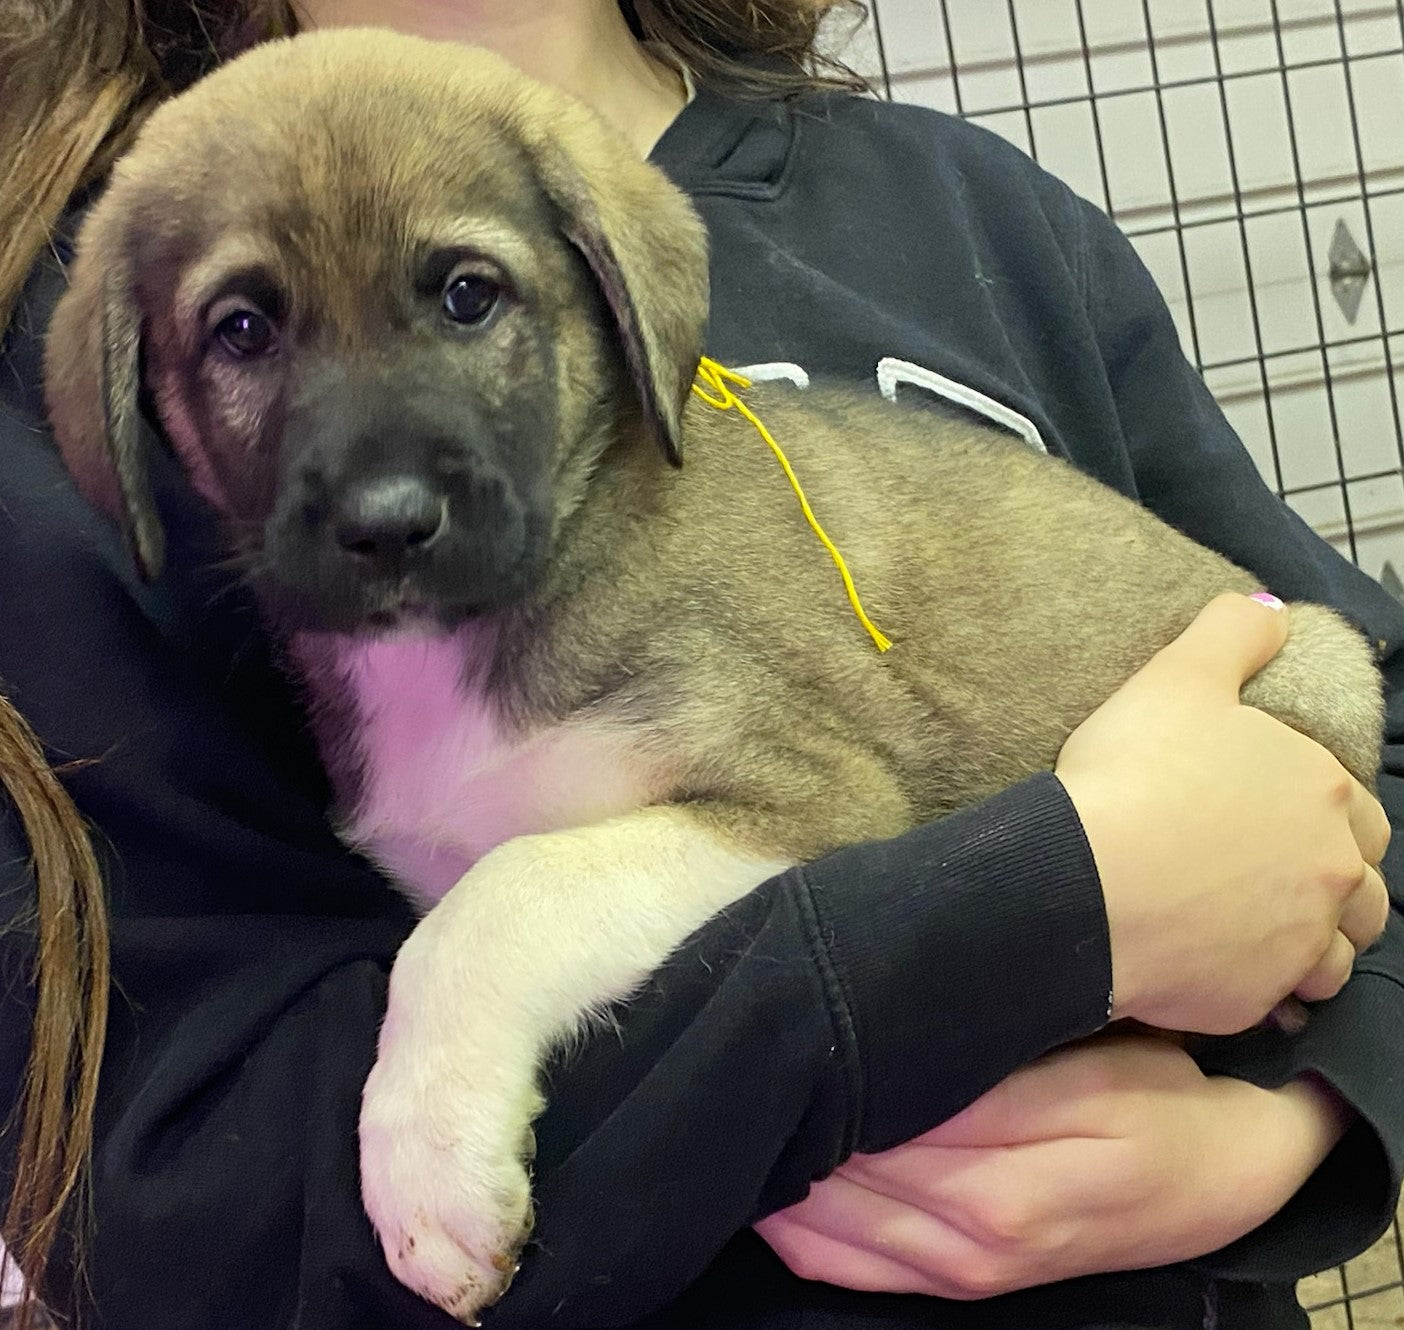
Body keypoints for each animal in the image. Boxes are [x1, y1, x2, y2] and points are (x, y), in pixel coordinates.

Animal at [43, 25, 1381, 1325]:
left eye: (469, 296)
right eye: (242, 329)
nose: (385, 524)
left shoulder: (812, 797)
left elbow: (502, 900)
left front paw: (429, 1178)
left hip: (1318, 665)